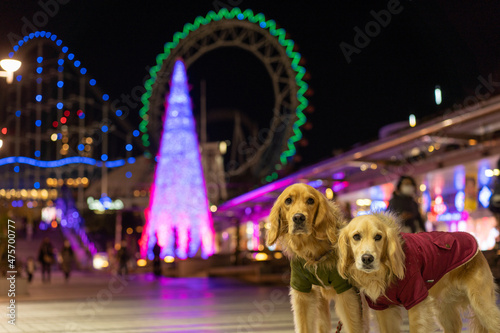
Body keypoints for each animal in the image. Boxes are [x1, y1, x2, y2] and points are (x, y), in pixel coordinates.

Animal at [266, 183, 368, 330]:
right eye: (288, 200)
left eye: (310, 200)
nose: (298, 217)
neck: (314, 252)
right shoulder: (302, 291)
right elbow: (304, 326)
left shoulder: (347, 292)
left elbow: (354, 326)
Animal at [338, 214, 500, 330]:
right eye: (356, 237)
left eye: (378, 237)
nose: (367, 258)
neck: (384, 272)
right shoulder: (382, 309)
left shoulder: (417, 301)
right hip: (444, 309)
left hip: (481, 304)